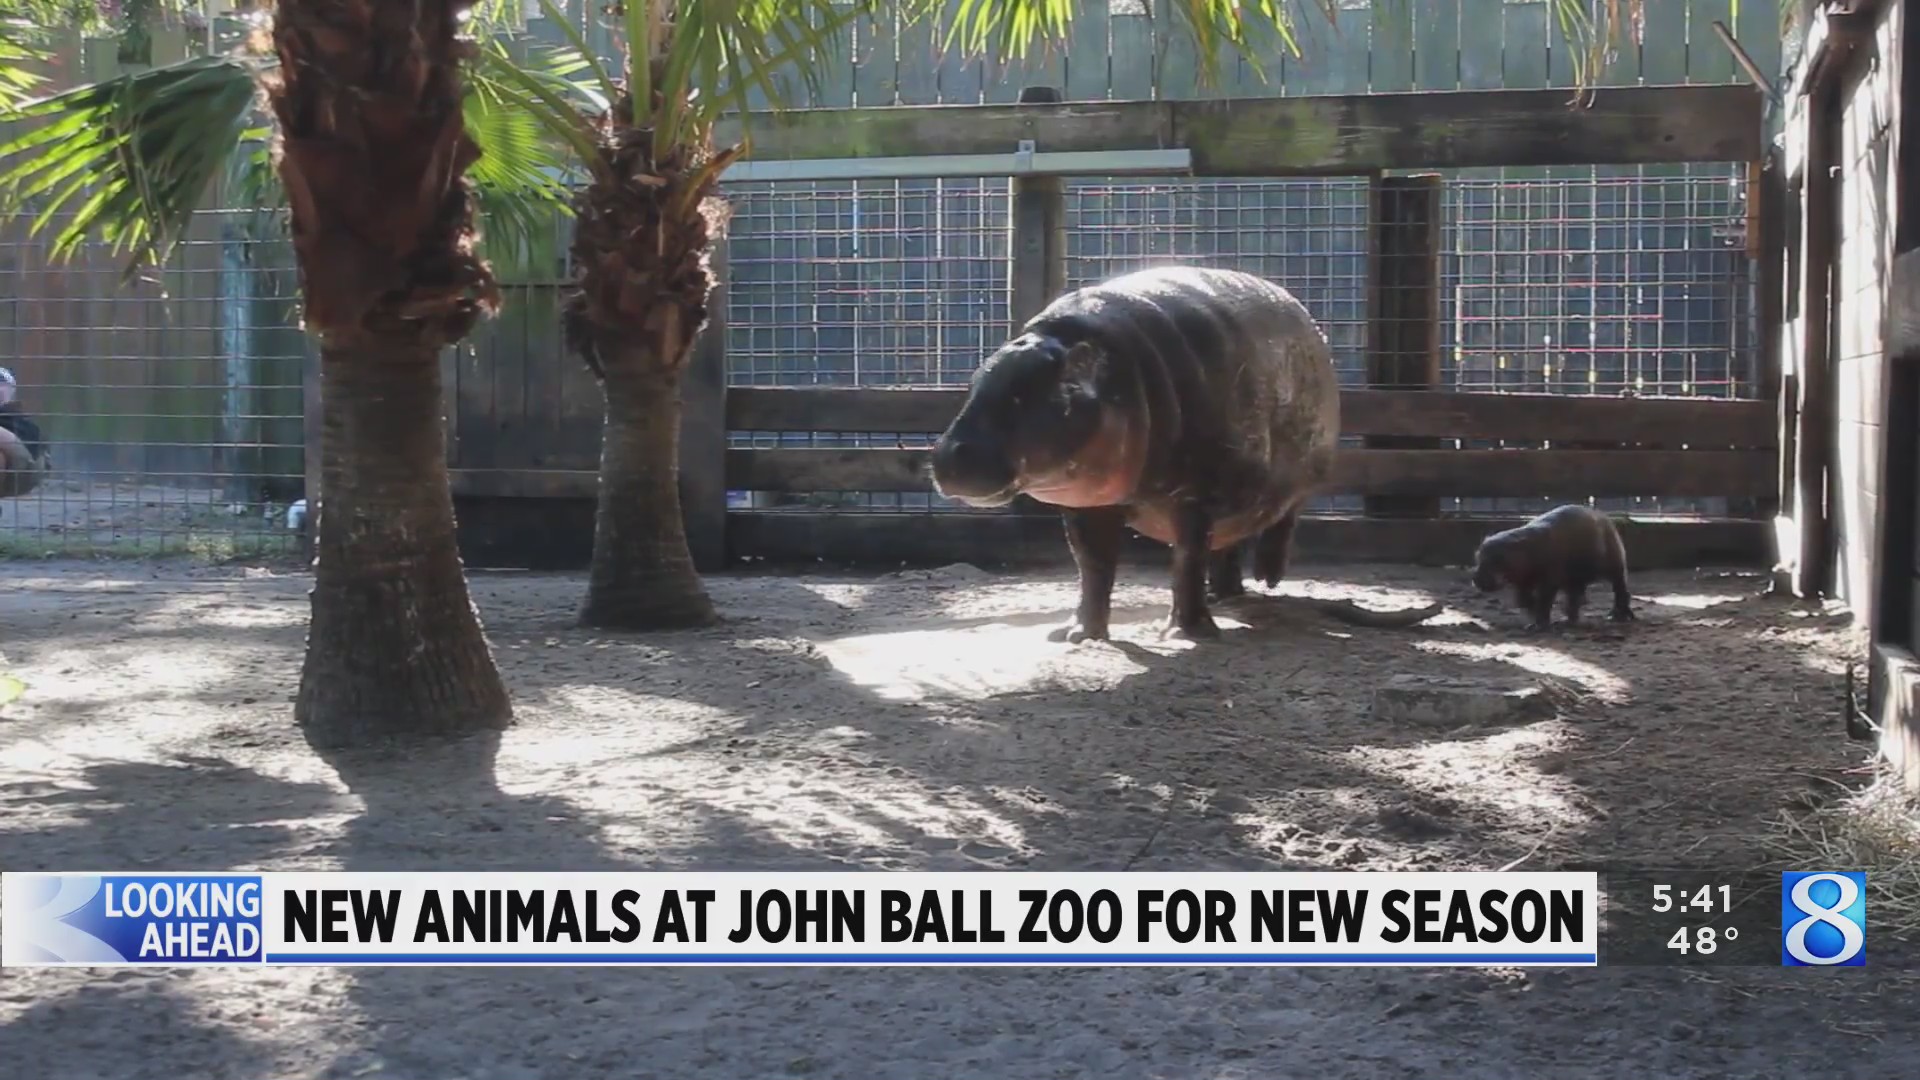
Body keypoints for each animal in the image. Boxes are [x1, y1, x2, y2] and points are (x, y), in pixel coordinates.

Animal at [929, 265, 1340, 642]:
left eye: (1023, 393)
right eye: (973, 383)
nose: (948, 455)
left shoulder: (1197, 495)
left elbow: (1187, 560)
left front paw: (1185, 635)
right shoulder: (1088, 503)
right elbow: (1093, 565)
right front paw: (1078, 634)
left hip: (1301, 473)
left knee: (1284, 517)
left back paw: (1268, 577)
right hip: (1239, 494)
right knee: (1230, 541)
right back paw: (1223, 595)